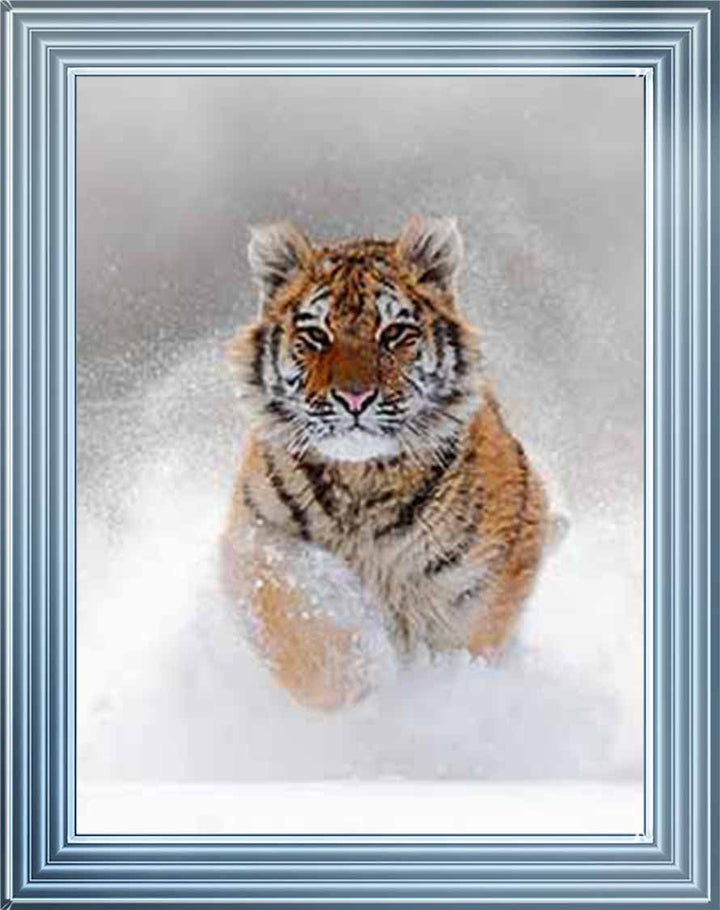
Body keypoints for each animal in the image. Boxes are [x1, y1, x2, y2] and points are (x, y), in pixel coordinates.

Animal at [222, 216, 554, 710]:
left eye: (394, 333)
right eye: (316, 336)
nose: (354, 397)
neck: (361, 480)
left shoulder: (487, 576)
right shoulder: (255, 539)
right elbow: (299, 619)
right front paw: (359, 683)